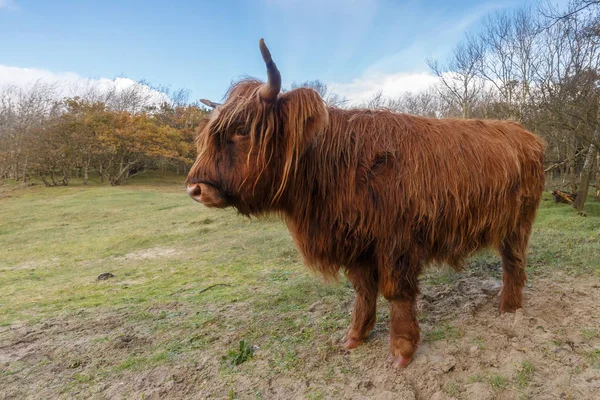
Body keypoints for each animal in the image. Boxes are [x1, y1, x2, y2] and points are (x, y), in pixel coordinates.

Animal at [186, 39, 544, 368]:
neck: (335, 165)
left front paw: (402, 349)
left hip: (519, 222)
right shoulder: (355, 243)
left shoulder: (397, 243)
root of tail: (525, 133)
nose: (194, 187)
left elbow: (396, 292)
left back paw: (509, 307)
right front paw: (355, 336)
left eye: (242, 129)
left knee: (513, 261)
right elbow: (363, 290)